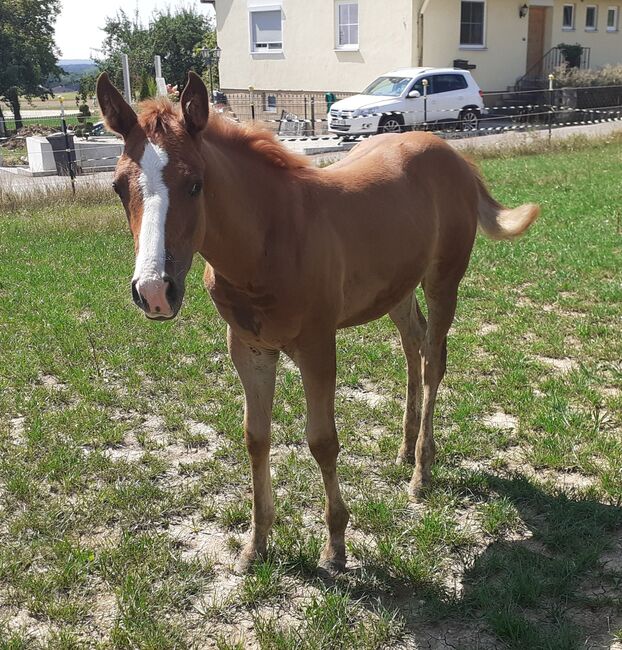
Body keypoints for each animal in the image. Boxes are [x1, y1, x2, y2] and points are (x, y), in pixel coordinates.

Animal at [97, 72, 540, 572]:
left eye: (195, 184)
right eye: (117, 187)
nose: (155, 292)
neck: (269, 240)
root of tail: (456, 156)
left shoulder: (317, 346)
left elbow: (322, 441)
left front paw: (335, 546)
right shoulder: (249, 348)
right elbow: (255, 437)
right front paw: (256, 544)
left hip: (443, 280)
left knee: (434, 362)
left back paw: (421, 471)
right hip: (397, 289)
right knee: (415, 345)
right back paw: (405, 448)